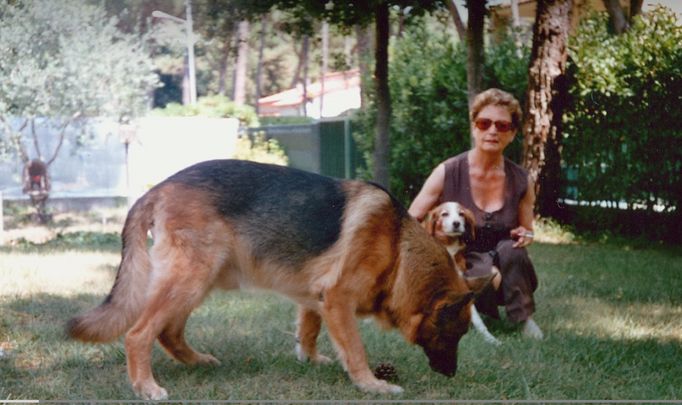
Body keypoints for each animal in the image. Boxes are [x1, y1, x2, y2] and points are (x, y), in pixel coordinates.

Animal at [66, 159, 480, 400]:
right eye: (455, 335)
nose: (453, 375)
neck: (396, 247)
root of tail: (157, 188)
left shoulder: (317, 299)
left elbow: (309, 330)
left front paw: (311, 360)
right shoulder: (338, 299)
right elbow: (356, 349)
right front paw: (370, 384)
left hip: (201, 281)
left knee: (167, 332)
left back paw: (197, 361)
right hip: (191, 278)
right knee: (138, 334)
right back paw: (146, 387)